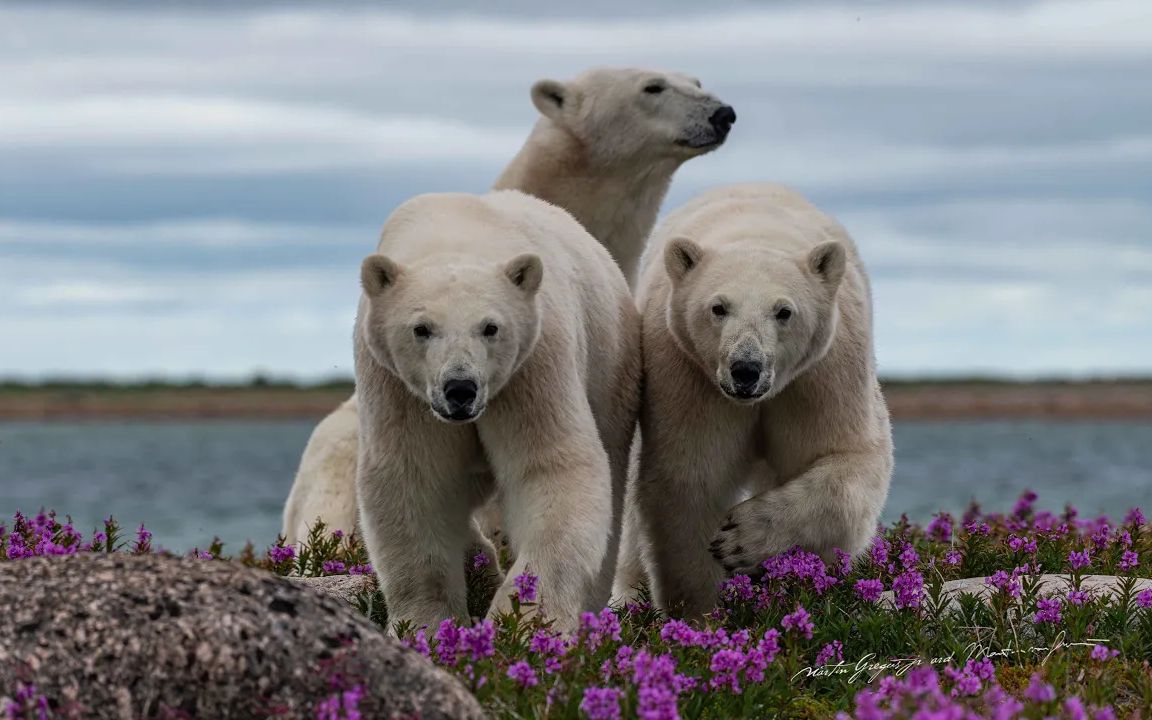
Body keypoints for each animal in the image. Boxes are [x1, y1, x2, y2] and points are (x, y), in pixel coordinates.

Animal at [354, 190, 640, 626]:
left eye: (490, 327)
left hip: (609, 366)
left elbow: (551, 468)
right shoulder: (397, 386)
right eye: (421, 328)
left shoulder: (532, 365)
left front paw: (526, 617)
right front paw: (427, 623)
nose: (460, 388)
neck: (454, 235)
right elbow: (412, 479)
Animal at [631, 182, 889, 612]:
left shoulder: (821, 374)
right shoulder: (688, 375)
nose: (746, 369)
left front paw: (744, 540)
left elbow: (843, 458)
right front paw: (702, 607)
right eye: (718, 307)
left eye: (784, 311)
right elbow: (691, 476)